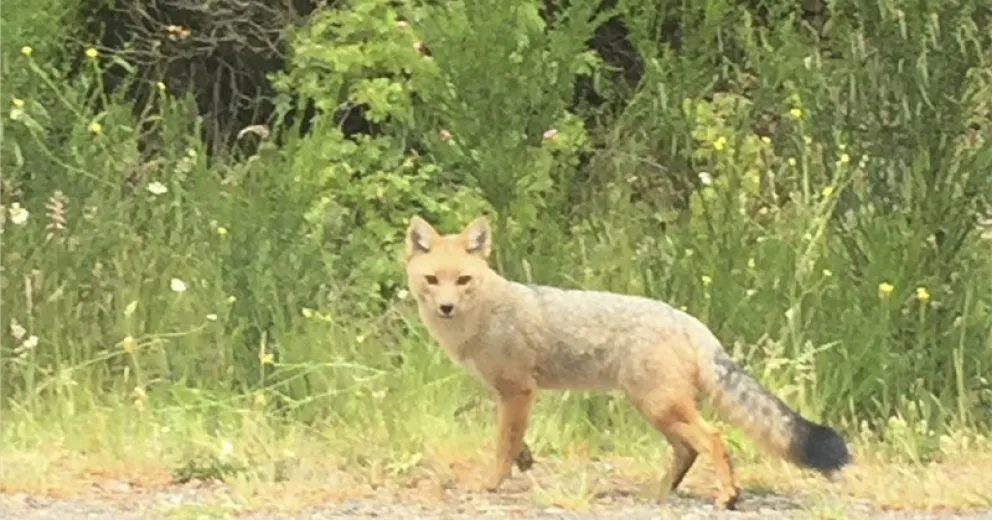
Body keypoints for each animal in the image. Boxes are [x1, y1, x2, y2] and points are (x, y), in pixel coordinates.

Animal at [402, 214, 851, 509]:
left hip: (660, 407)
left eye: (463, 281)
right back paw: (659, 494)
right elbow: (515, 443)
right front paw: (524, 461)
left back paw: (727, 496)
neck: (482, 317)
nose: (445, 307)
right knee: (687, 451)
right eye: (432, 280)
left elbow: (502, 445)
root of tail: (690, 321)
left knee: (713, 438)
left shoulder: (517, 391)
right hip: (658, 410)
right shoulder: (509, 396)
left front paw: (491, 484)